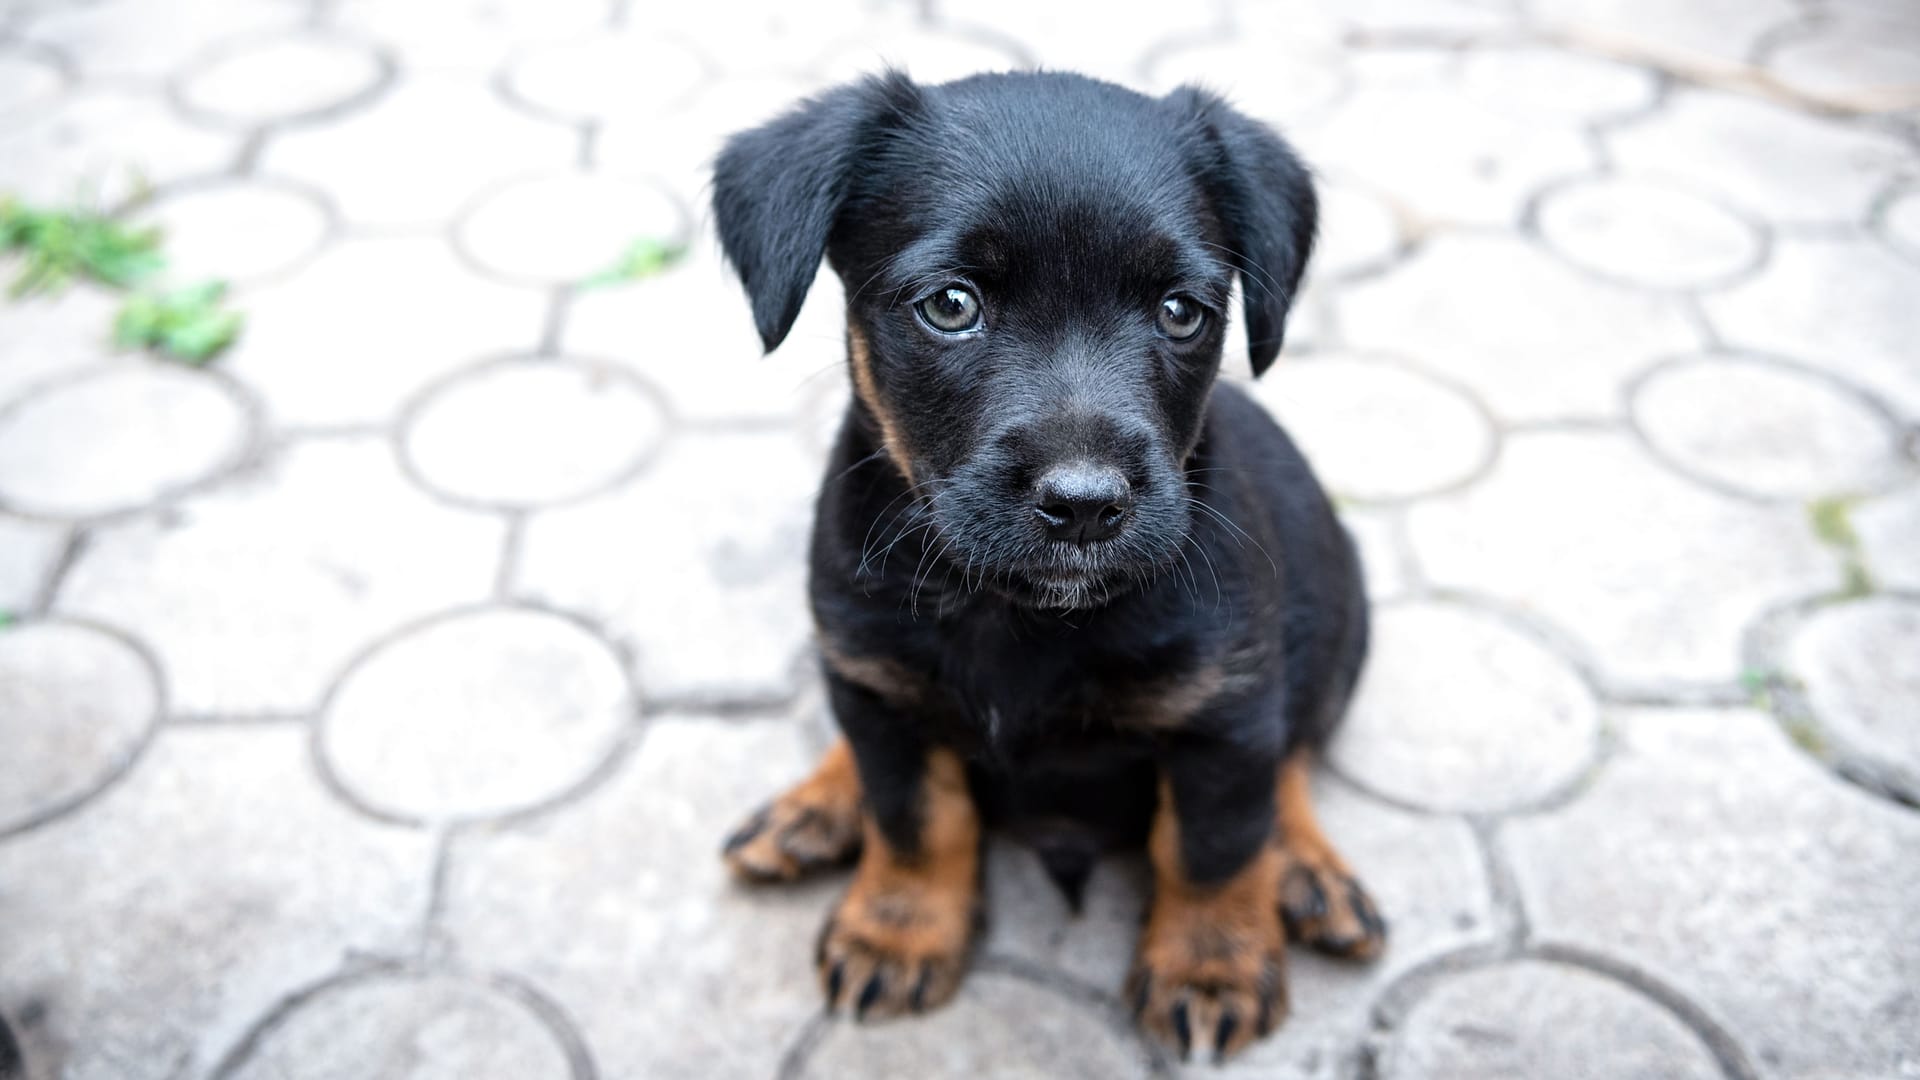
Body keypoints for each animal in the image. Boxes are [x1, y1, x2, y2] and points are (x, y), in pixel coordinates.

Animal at [714, 69, 1390, 1060]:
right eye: (951, 306)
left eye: (1181, 312)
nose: (1085, 506)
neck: (1018, 613)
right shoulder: (874, 681)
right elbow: (914, 818)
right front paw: (898, 929)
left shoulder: (1226, 712)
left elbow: (1213, 845)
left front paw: (1209, 965)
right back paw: (816, 807)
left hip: (1337, 615)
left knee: (1295, 751)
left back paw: (1304, 866)